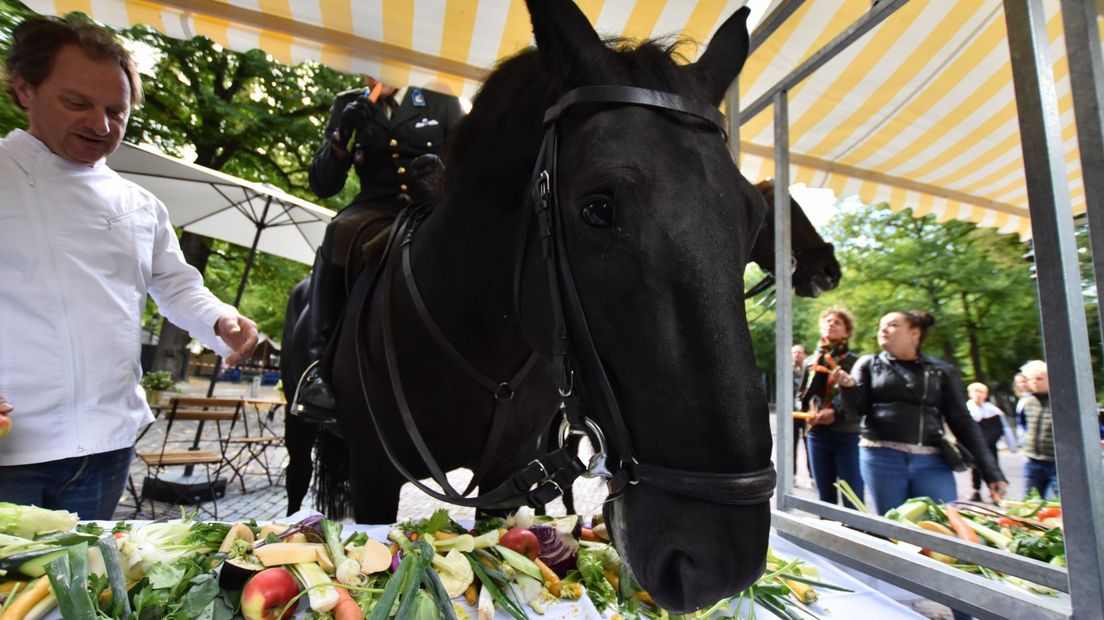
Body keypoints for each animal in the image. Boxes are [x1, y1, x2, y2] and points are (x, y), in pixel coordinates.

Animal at [287, 0, 786, 608]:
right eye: (596, 208)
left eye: (755, 219)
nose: (721, 562)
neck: (473, 339)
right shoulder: (373, 474)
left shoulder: (508, 478)